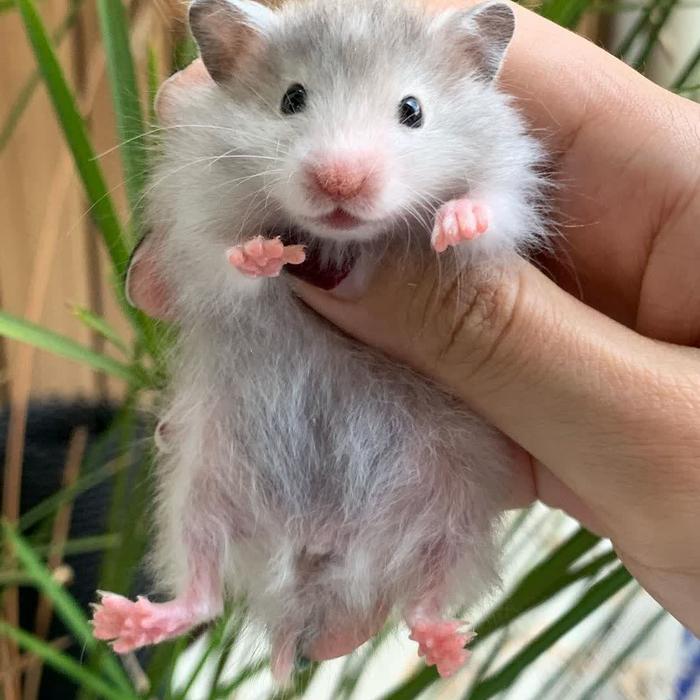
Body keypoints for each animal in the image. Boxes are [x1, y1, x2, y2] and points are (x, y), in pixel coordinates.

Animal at [92, 0, 547, 680]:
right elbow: (224, 262)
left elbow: (490, 207)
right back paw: (119, 621)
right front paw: (267, 253)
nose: (340, 182)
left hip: (455, 511)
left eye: (412, 109)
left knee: (424, 596)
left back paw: (449, 651)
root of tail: (314, 553)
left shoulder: (510, 177)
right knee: (202, 590)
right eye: (292, 99)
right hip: (196, 487)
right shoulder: (194, 217)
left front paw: (453, 223)